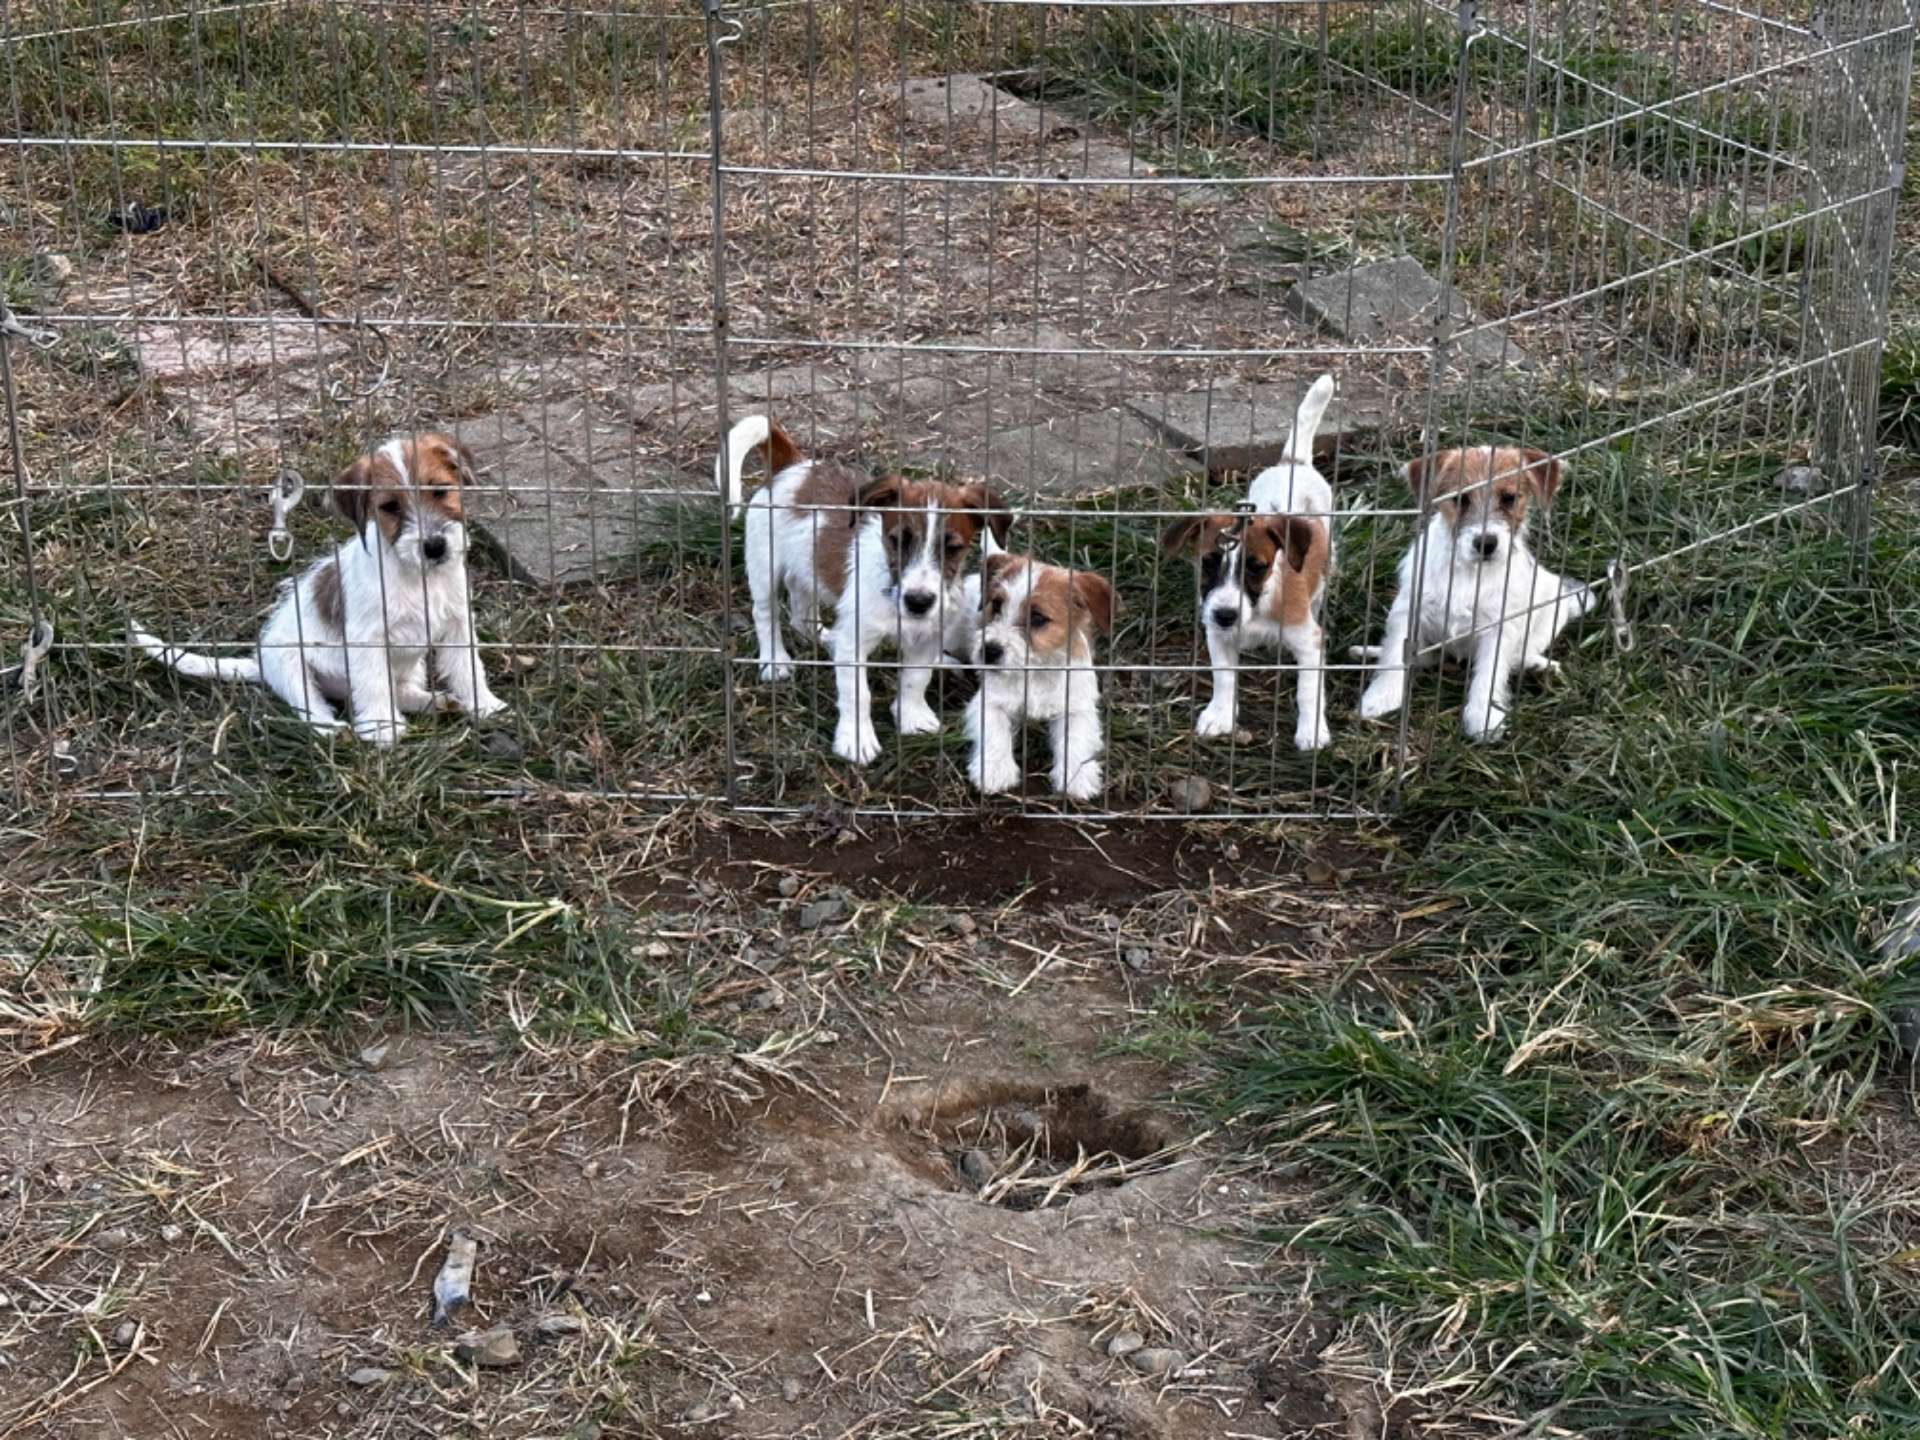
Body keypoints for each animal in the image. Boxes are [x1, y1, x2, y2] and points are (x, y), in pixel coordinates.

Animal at [136, 433, 510, 748]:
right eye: (390, 506)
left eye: (440, 490)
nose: (434, 547)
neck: (418, 577)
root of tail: (259, 663)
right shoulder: (368, 640)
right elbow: (373, 683)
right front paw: (382, 729)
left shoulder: (458, 625)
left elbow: (468, 669)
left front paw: (485, 705)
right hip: (292, 666)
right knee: (313, 707)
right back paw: (334, 730)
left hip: (406, 667)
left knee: (399, 689)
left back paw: (435, 702)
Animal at [721, 414, 1013, 768]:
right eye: (897, 541)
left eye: (952, 548)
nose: (918, 602)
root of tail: (794, 466)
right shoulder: (856, 643)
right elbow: (857, 694)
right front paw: (857, 739)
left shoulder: (927, 638)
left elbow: (916, 679)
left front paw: (911, 716)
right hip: (764, 565)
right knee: (766, 615)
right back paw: (775, 660)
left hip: (806, 569)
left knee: (802, 614)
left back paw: (826, 637)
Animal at [967, 526, 1121, 806]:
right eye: (996, 604)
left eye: (1038, 618)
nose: (989, 651)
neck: (1035, 671)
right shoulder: (988, 701)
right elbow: (994, 730)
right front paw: (994, 769)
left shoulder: (1077, 707)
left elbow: (1075, 739)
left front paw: (1076, 777)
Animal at [1152, 368, 1336, 756]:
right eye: (1207, 562)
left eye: (1256, 566)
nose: (1225, 615)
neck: (1257, 606)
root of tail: (1292, 464)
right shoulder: (1217, 636)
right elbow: (1224, 678)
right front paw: (1220, 715)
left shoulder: (1309, 642)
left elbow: (1309, 691)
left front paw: (1311, 730)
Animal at [1359, 445, 1597, 744]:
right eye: (1461, 499)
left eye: (1509, 498)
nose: (1486, 543)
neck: (1469, 572)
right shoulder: (1409, 608)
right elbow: (1394, 654)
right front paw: (1380, 698)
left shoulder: (1499, 628)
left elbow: (1489, 674)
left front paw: (1484, 717)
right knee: (1425, 657)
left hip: (1551, 608)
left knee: (1518, 656)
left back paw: (1535, 666)